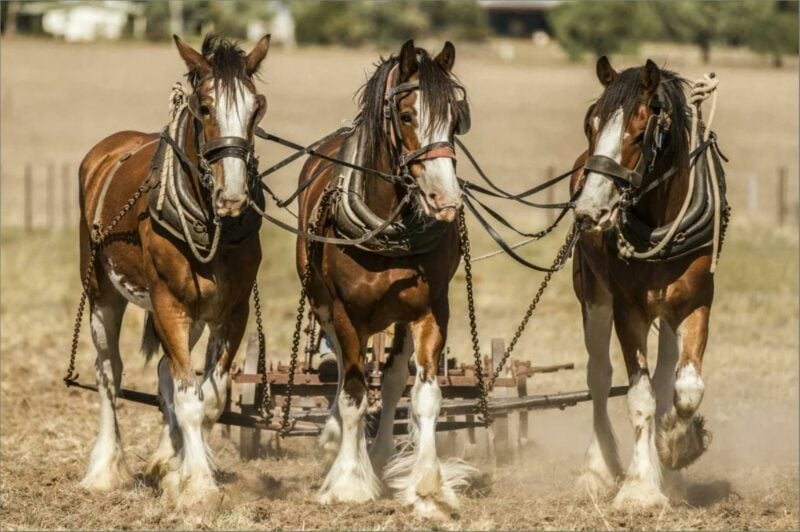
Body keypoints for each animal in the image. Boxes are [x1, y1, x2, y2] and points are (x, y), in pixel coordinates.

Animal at [77, 34, 270, 510]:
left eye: (257, 107)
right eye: (205, 107)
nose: (233, 197)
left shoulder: (231, 310)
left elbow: (210, 397)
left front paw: (179, 470)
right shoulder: (168, 303)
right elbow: (187, 398)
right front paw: (199, 486)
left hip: (193, 317)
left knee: (165, 371)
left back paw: (165, 460)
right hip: (103, 293)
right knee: (109, 373)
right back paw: (104, 471)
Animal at [294, 39, 473, 518]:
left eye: (456, 117)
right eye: (407, 116)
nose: (445, 199)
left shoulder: (432, 308)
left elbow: (424, 396)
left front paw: (427, 487)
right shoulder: (344, 311)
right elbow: (354, 395)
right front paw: (349, 483)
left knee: (392, 378)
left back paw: (377, 453)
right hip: (323, 303)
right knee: (343, 370)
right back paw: (340, 444)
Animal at [570, 57, 725, 507]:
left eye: (641, 133)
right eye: (590, 124)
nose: (588, 211)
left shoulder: (697, 301)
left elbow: (686, 388)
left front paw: (676, 446)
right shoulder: (628, 308)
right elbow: (638, 397)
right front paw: (640, 489)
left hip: (668, 310)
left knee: (664, 374)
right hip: (593, 296)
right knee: (599, 377)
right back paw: (598, 467)